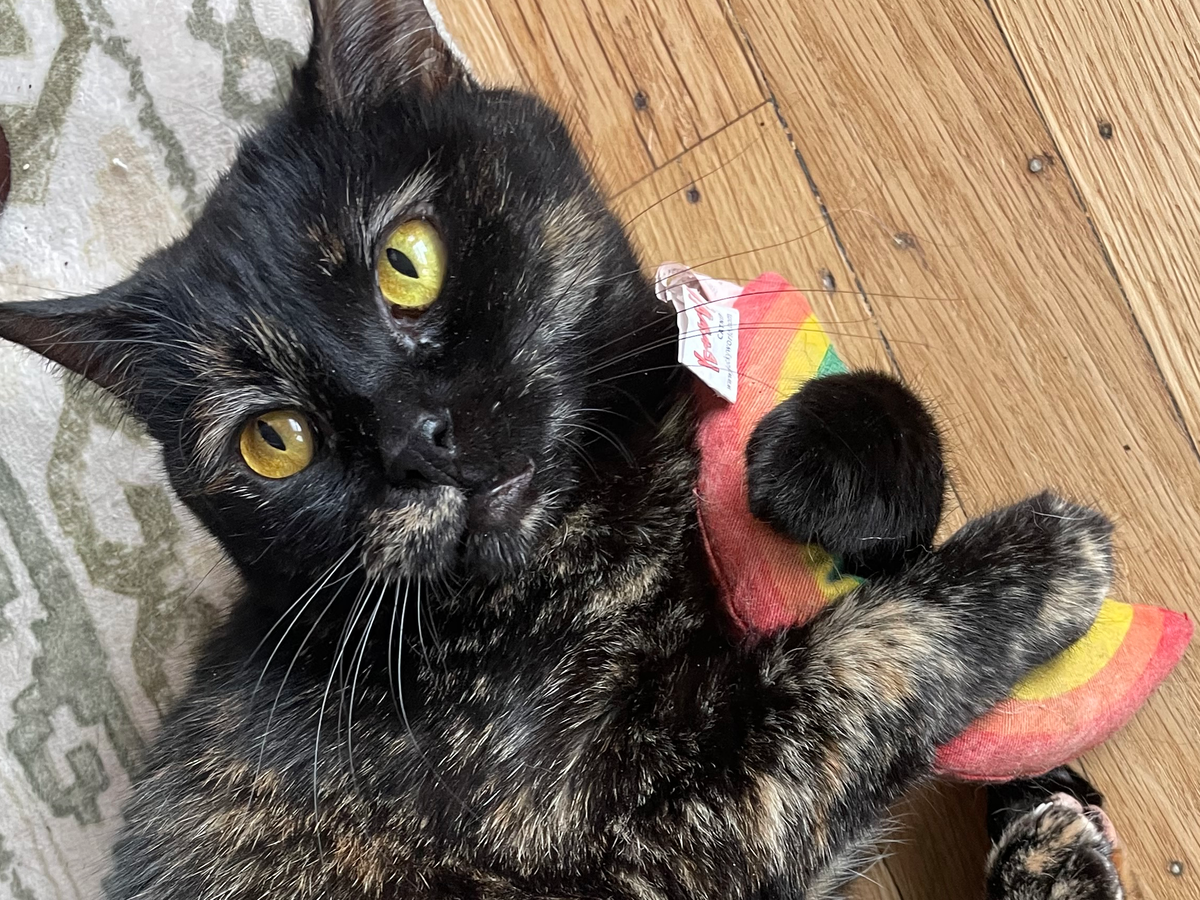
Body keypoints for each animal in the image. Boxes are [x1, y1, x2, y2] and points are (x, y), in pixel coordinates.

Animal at [0, 0, 1125, 897]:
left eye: (408, 262)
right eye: (272, 440)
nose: (420, 440)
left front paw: (824, 466)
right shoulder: (682, 836)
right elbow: (844, 671)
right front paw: (1032, 567)